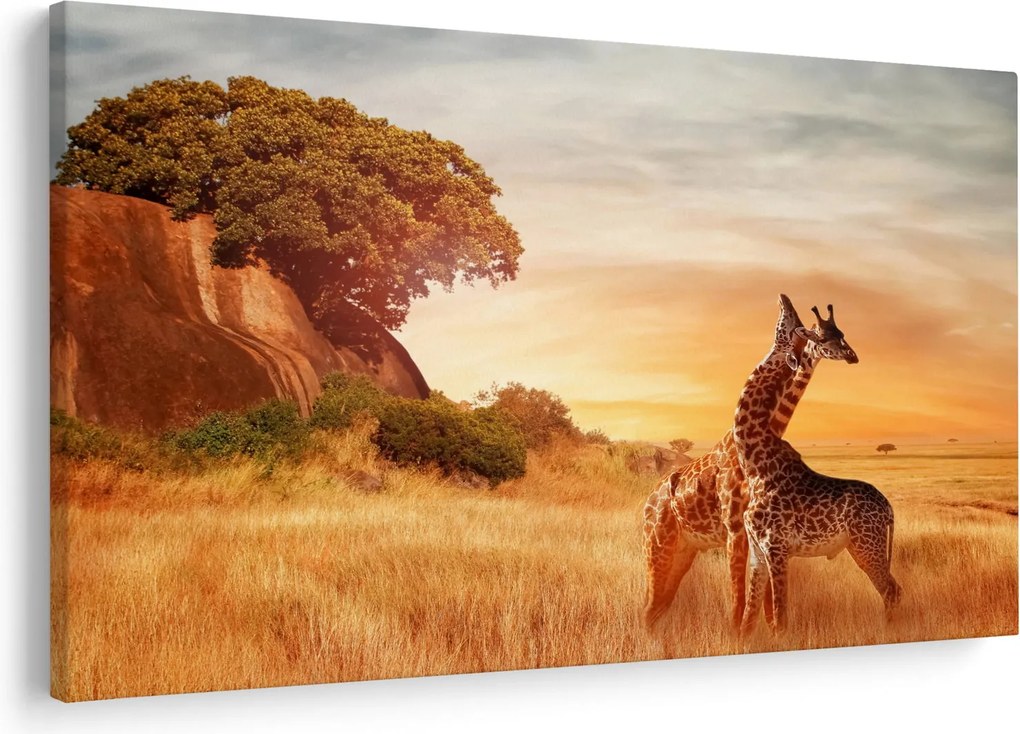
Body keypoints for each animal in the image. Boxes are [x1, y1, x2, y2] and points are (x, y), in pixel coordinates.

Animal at [642, 296, 854, 630]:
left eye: (840, 333)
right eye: (819, 334)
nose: (850, 355)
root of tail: (649, 500)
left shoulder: (756, 533)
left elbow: (760, 600)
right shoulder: (736, 529)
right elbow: (739, 599)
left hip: (684, 550)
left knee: (658, 605)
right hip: (658, 545)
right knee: (649, 606)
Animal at [732, 295, 901, 635]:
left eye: (793, 325)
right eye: (818, 333)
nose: (784, 298)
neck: (755, 462)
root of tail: (889, 509)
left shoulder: (777, 548)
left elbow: (780, 618)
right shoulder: (757, 552)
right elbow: (748, 619)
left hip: (867, 545)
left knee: (890, 590)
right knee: (895, 589)